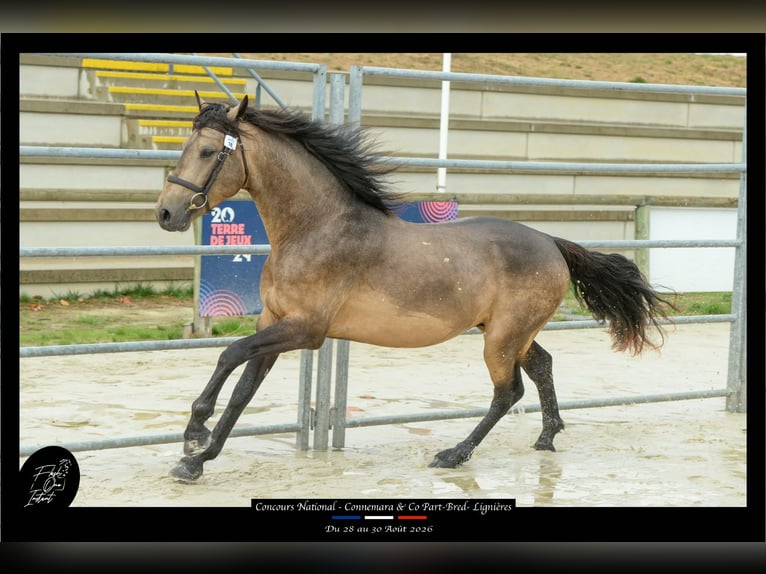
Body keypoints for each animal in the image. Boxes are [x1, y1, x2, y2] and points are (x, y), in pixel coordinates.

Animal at [155, 93, 675, 482]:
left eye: (207, 152)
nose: (166, 213)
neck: (315, 229)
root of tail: (551, 242)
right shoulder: (274, 322)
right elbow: (243, 389)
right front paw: (197, 459)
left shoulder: (306, 330)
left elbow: (228, 355)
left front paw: (195, 432)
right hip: (511, 333)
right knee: (542, 366)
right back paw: (546, 439)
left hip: (500, 338)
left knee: (507, 393)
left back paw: (453, 454)